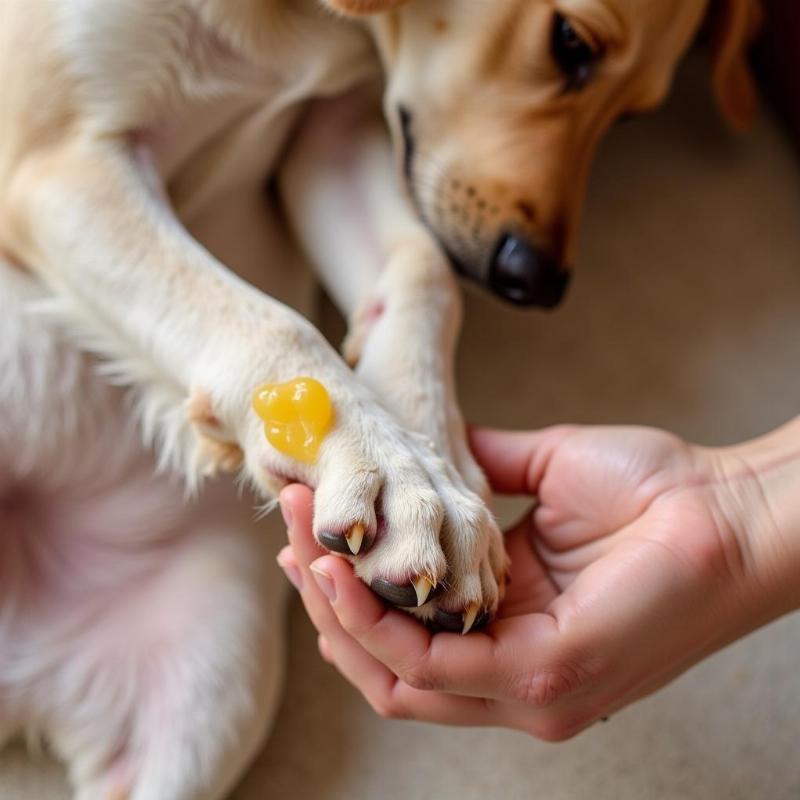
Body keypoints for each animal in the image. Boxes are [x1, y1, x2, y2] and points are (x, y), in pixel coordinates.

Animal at [0, 0, 764, 796]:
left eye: (634, 113)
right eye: (568, 42)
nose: (542, 284)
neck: (290, 19)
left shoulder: (331, 133)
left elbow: (427, 270)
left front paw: (440, 465)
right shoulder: (57, 167)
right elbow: (272, 319)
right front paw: (390, 469)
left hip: (209, 698)